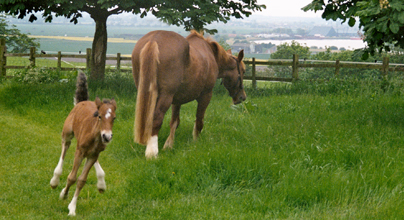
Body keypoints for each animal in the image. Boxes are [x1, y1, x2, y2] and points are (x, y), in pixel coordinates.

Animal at [49, 72, 117, 217]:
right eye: (99, 116)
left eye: (114, 118)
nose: (107, 136)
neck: (95, 136)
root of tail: (82, 102)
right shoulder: (79, 151)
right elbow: (72, 177)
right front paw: (63, 194)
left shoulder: (94, 154)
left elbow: (81, 180)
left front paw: (72, 207)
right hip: (67, 133)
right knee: (64, 148)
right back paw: (55, 180)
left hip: (93, 152)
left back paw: (101, 184)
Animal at [133, 30, 246, 158]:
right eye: (243, 71)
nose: (242, 97)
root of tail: (153, 40)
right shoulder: (205, 95)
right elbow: (199, 120)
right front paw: (196, 141)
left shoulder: (176, 101)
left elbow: (174, 122)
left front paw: (169, 145)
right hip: (166, 96)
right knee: (156, 117)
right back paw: (152, 152)